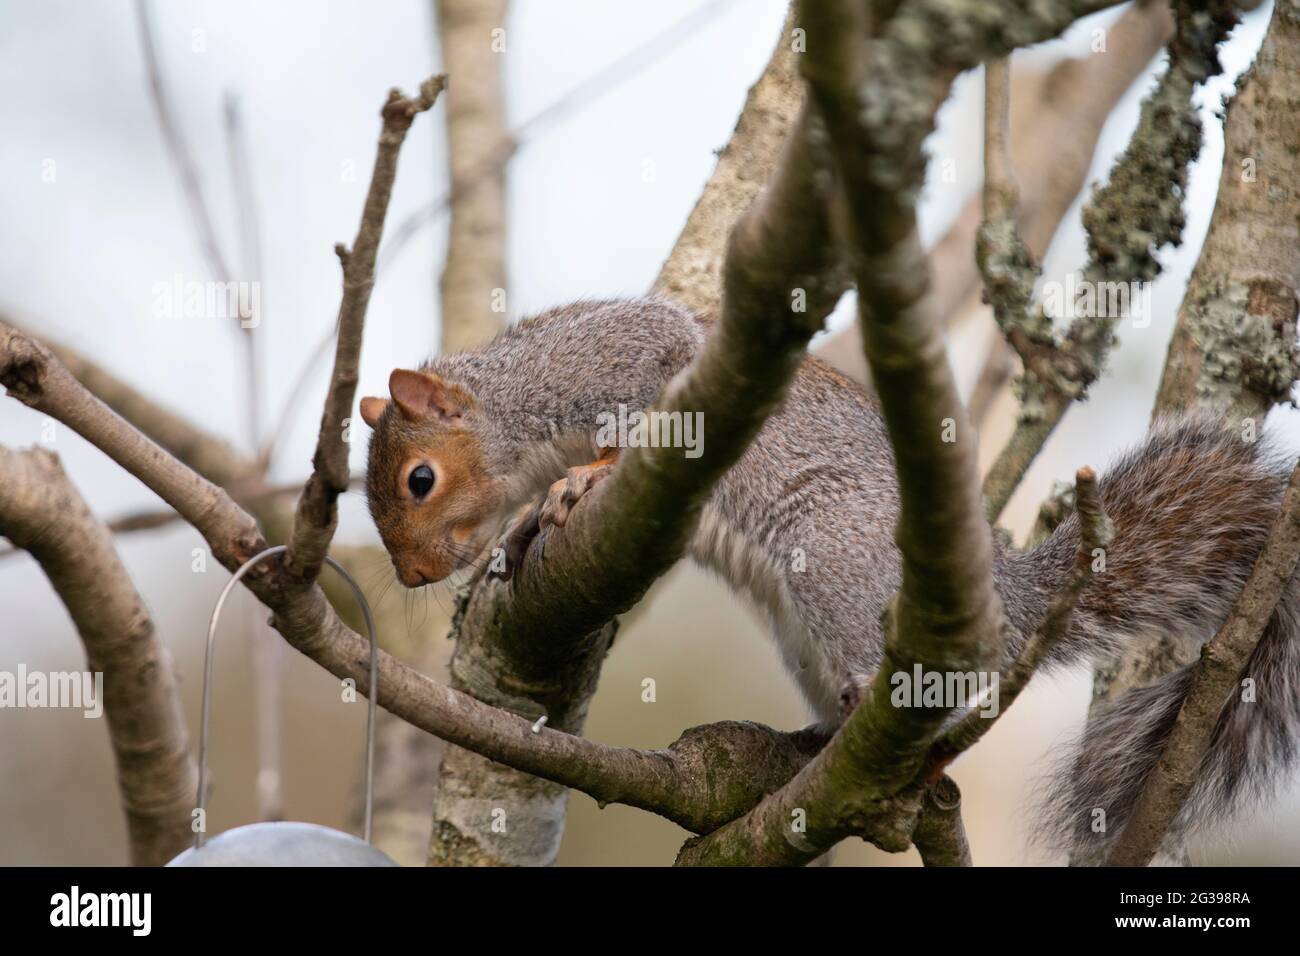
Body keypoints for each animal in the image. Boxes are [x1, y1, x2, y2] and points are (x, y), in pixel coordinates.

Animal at [358, 297, 1300, 858]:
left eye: (419, 480)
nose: (414, 573)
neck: (521, 413)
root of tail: (1006, 597)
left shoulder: (628, 358)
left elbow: (637, 420)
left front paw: (582, 481)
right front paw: (521, 531)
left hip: (840, 566)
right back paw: (817, 741)